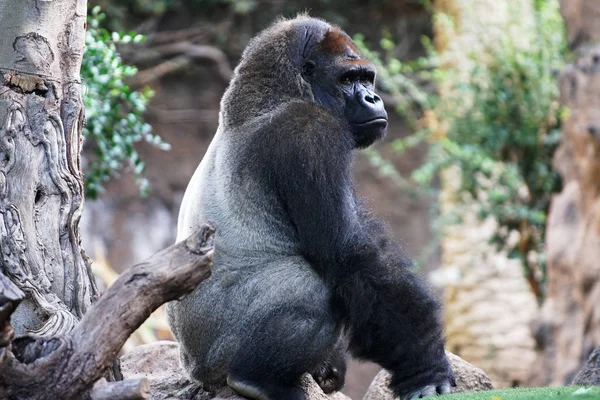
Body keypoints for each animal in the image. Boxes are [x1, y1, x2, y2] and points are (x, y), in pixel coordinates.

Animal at [165, 14, 454, 400]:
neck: (272, 97)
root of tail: (191, 366)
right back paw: (256, 379)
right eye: (348, 79)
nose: (373, 97)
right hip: (213, 357)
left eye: (367, 78)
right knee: (310, 293)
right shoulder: (309, 131)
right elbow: (350, 255)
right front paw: (424, 368)